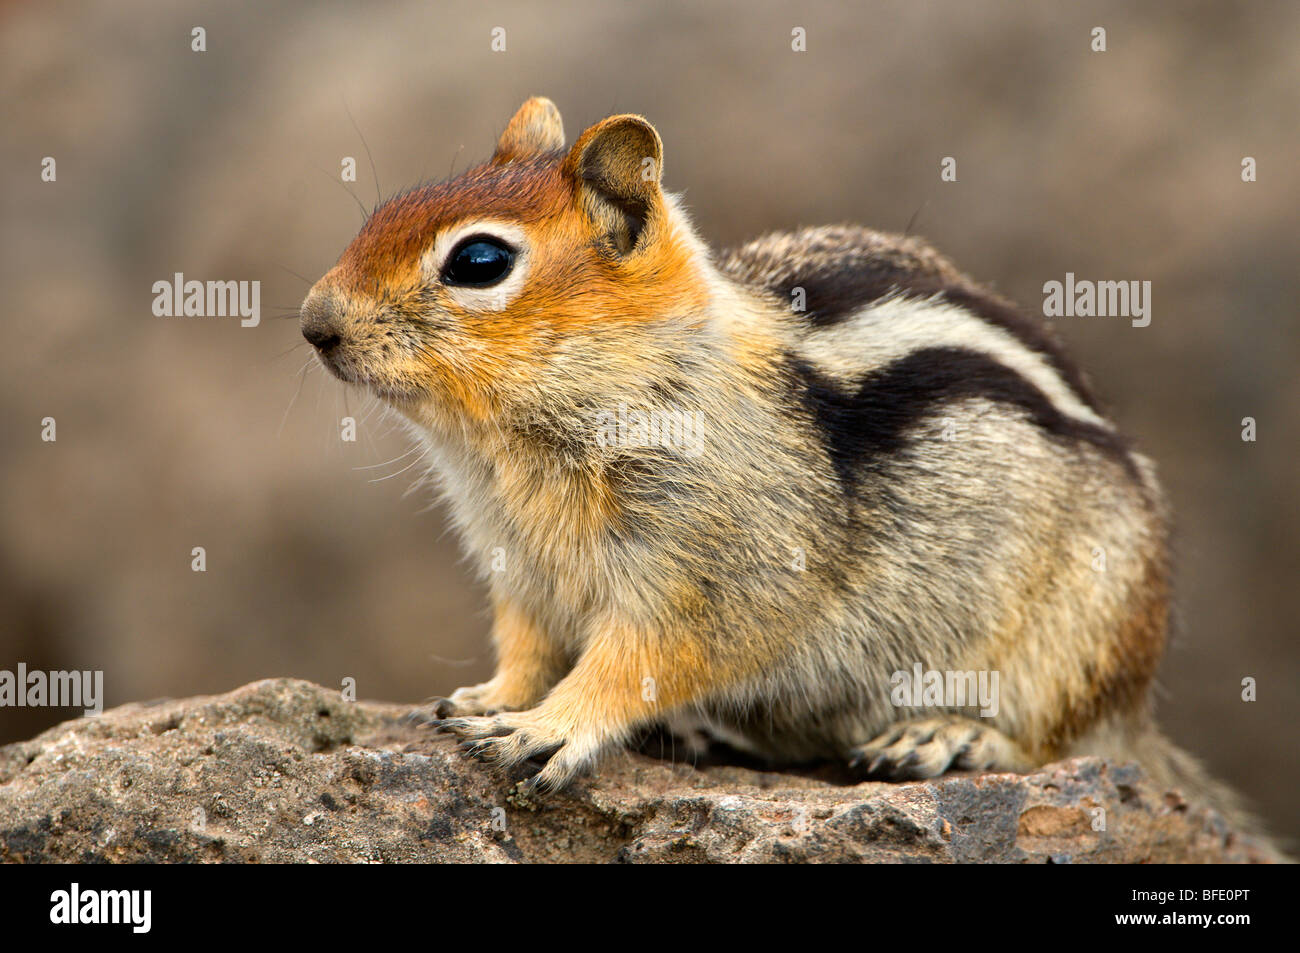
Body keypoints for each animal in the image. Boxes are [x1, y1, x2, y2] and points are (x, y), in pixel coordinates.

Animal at [301, 96, 1258, 832]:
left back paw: (946, 734)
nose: (314, 324)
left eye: (479, 261)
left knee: (1055, 738)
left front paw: (554, 727)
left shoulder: (712, 569)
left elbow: (637, 659)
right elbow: (529, 647)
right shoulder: (521, 572)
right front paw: (492, 698)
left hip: (1075, 637)